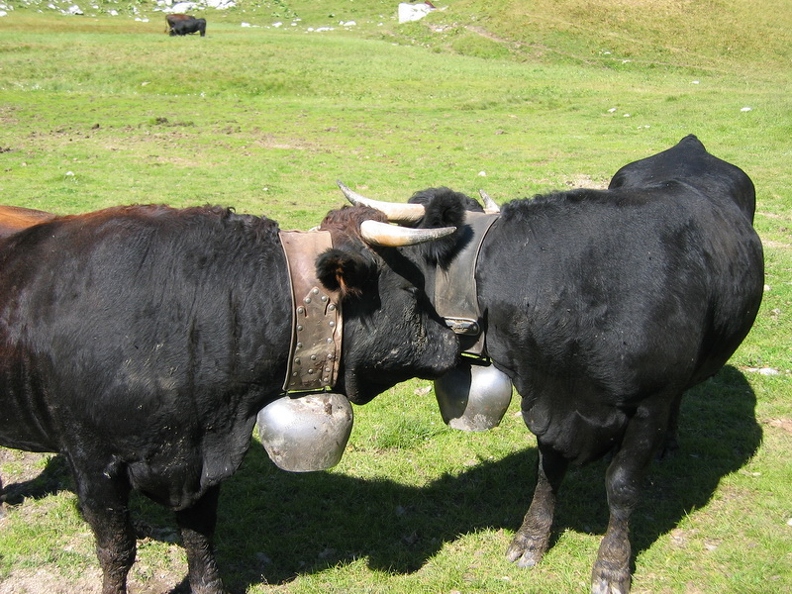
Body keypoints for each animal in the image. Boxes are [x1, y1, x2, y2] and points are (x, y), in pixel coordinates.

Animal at [0, 202, 458, 592]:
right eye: (411, 289)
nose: (455, 339)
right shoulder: (93, 463)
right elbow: (116, 552)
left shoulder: (201, 463)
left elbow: (200, 544)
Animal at [340, 134, 768, 592]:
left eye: (380, 274)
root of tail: (690, 145)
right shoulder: (546, 400)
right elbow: (548, 471)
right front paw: (531, 538)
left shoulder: (650, 403)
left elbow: (622, 485)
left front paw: (612, 565)